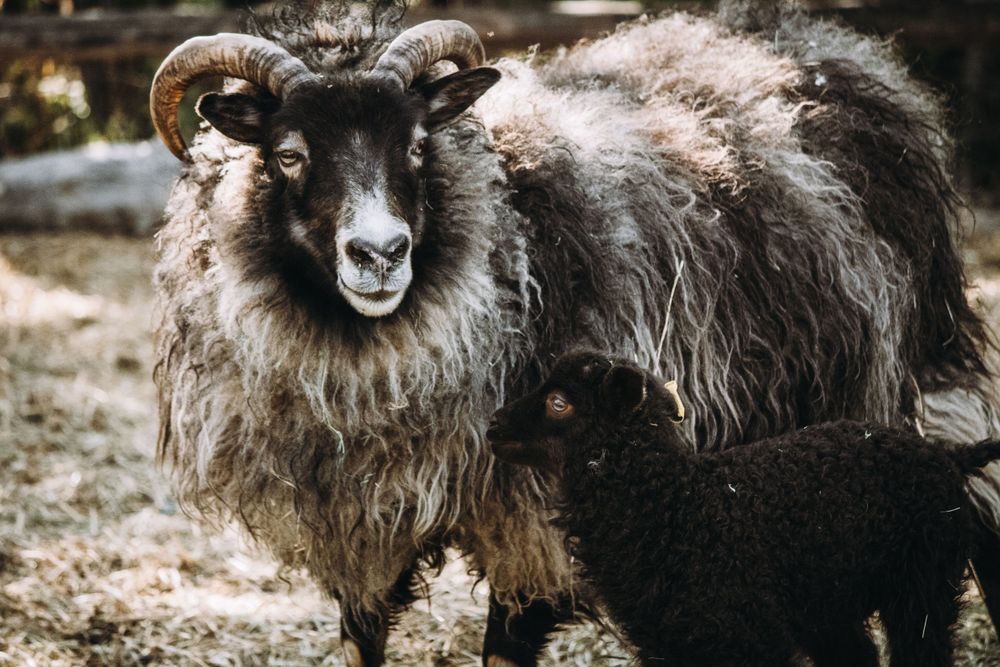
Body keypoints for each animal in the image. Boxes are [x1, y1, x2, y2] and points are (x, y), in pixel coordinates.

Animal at [488, 349, 1000, 667]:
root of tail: (947, 454)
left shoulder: (750, 637)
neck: (676, 510)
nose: (493, 425)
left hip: (923, 588)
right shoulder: (668, 644)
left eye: (559, 403)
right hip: (827, 605)